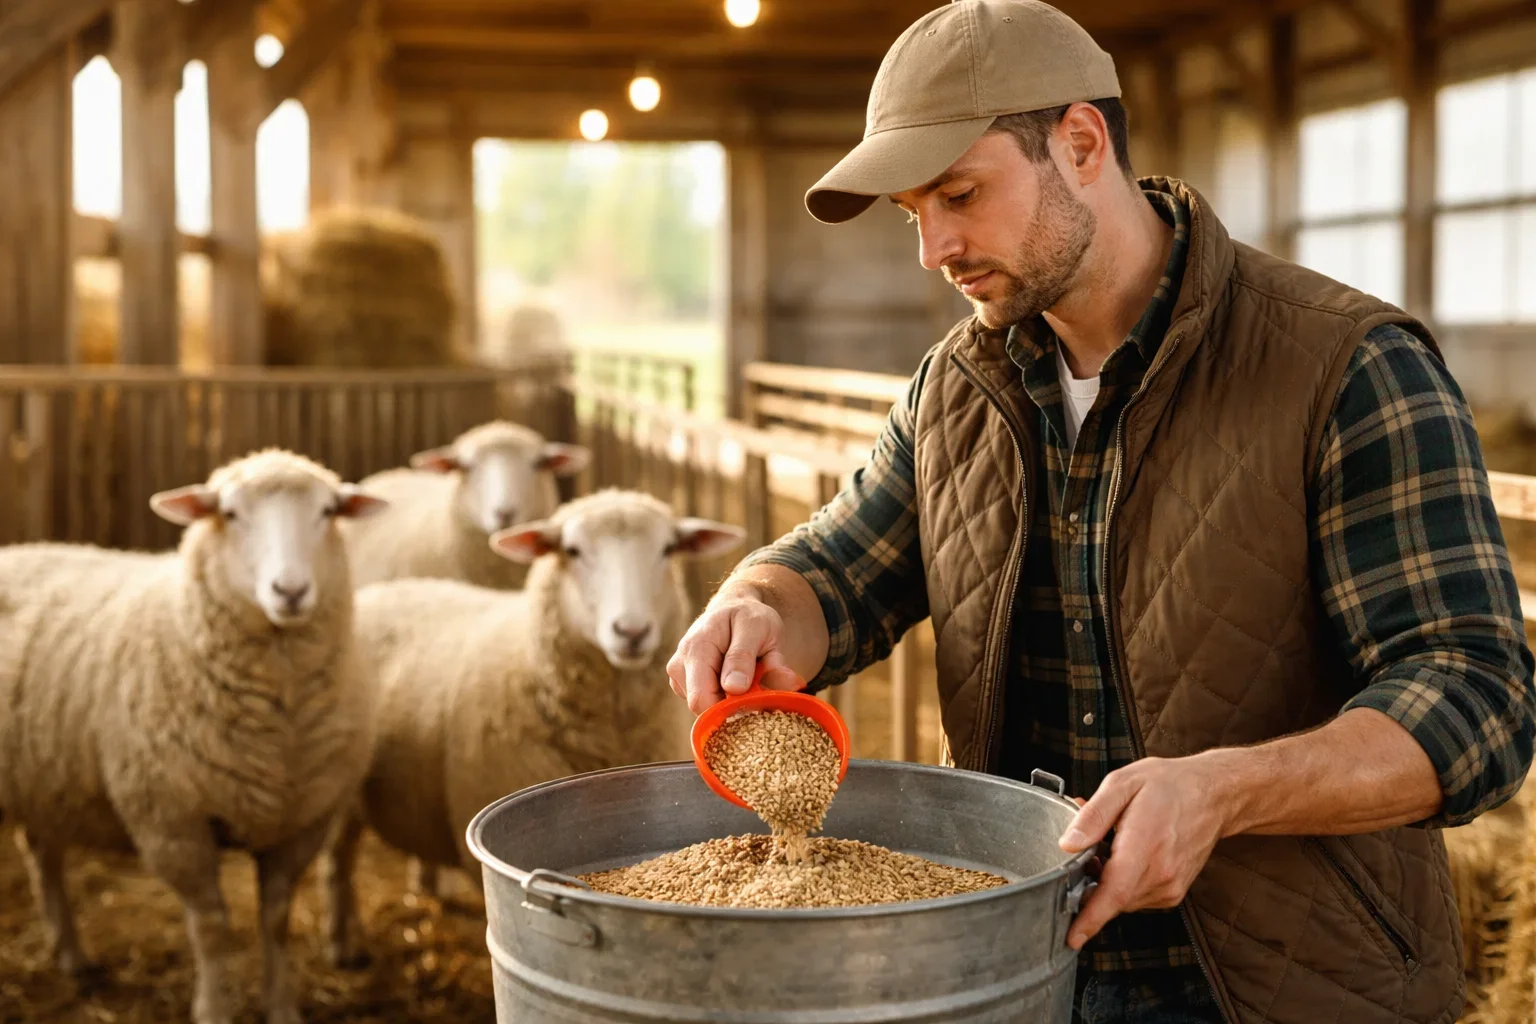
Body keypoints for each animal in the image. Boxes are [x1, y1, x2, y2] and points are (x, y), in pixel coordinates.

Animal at [0, 449, 388, 1024]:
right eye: (229, 513)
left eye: (327, 511)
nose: (290, 592)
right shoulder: (172, 823)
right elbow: (211, 927)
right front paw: (214, 1008)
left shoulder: (303, 820)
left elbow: (276, 920)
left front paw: (281, 1007)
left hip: (46, 778)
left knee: (43, 855)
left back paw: (72, 956)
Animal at [319, 489, 744, 966]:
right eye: (572, 551)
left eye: (668, 548)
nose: (631, 631)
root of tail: (380, 592)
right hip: (337, 788)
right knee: (337, 863)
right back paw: (343, 943)